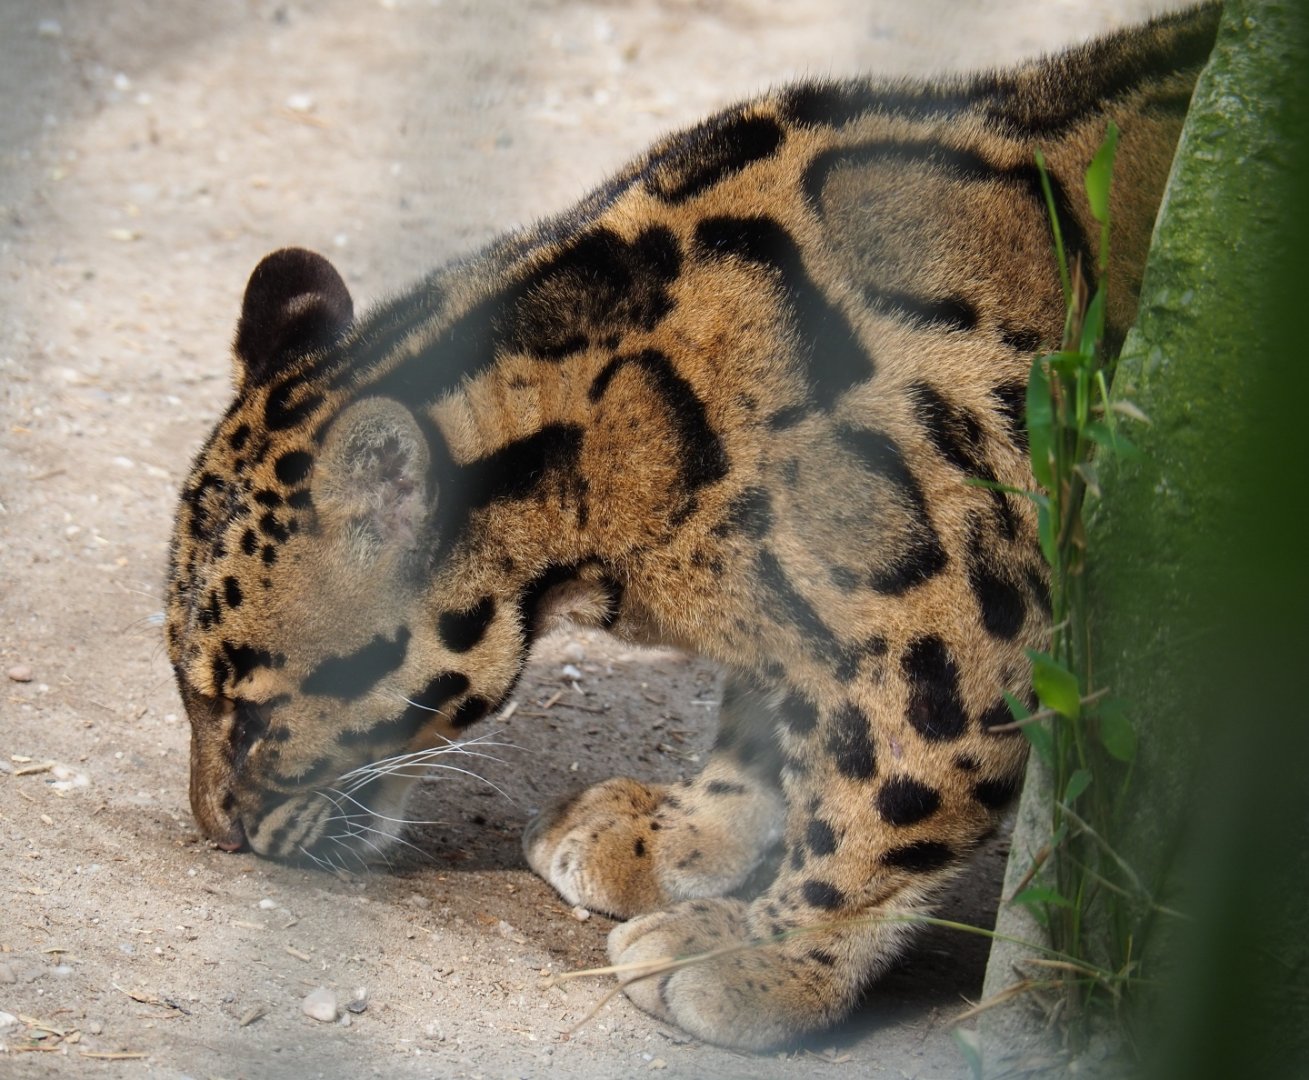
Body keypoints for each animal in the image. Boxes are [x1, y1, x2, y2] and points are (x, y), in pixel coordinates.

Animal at [165, 4, 1220, 1051]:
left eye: (248, 709)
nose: (213, 830)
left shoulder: (966, 619)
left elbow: (887, 798)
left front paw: (765, 957)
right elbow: (764, 725)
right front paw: (676, 834)